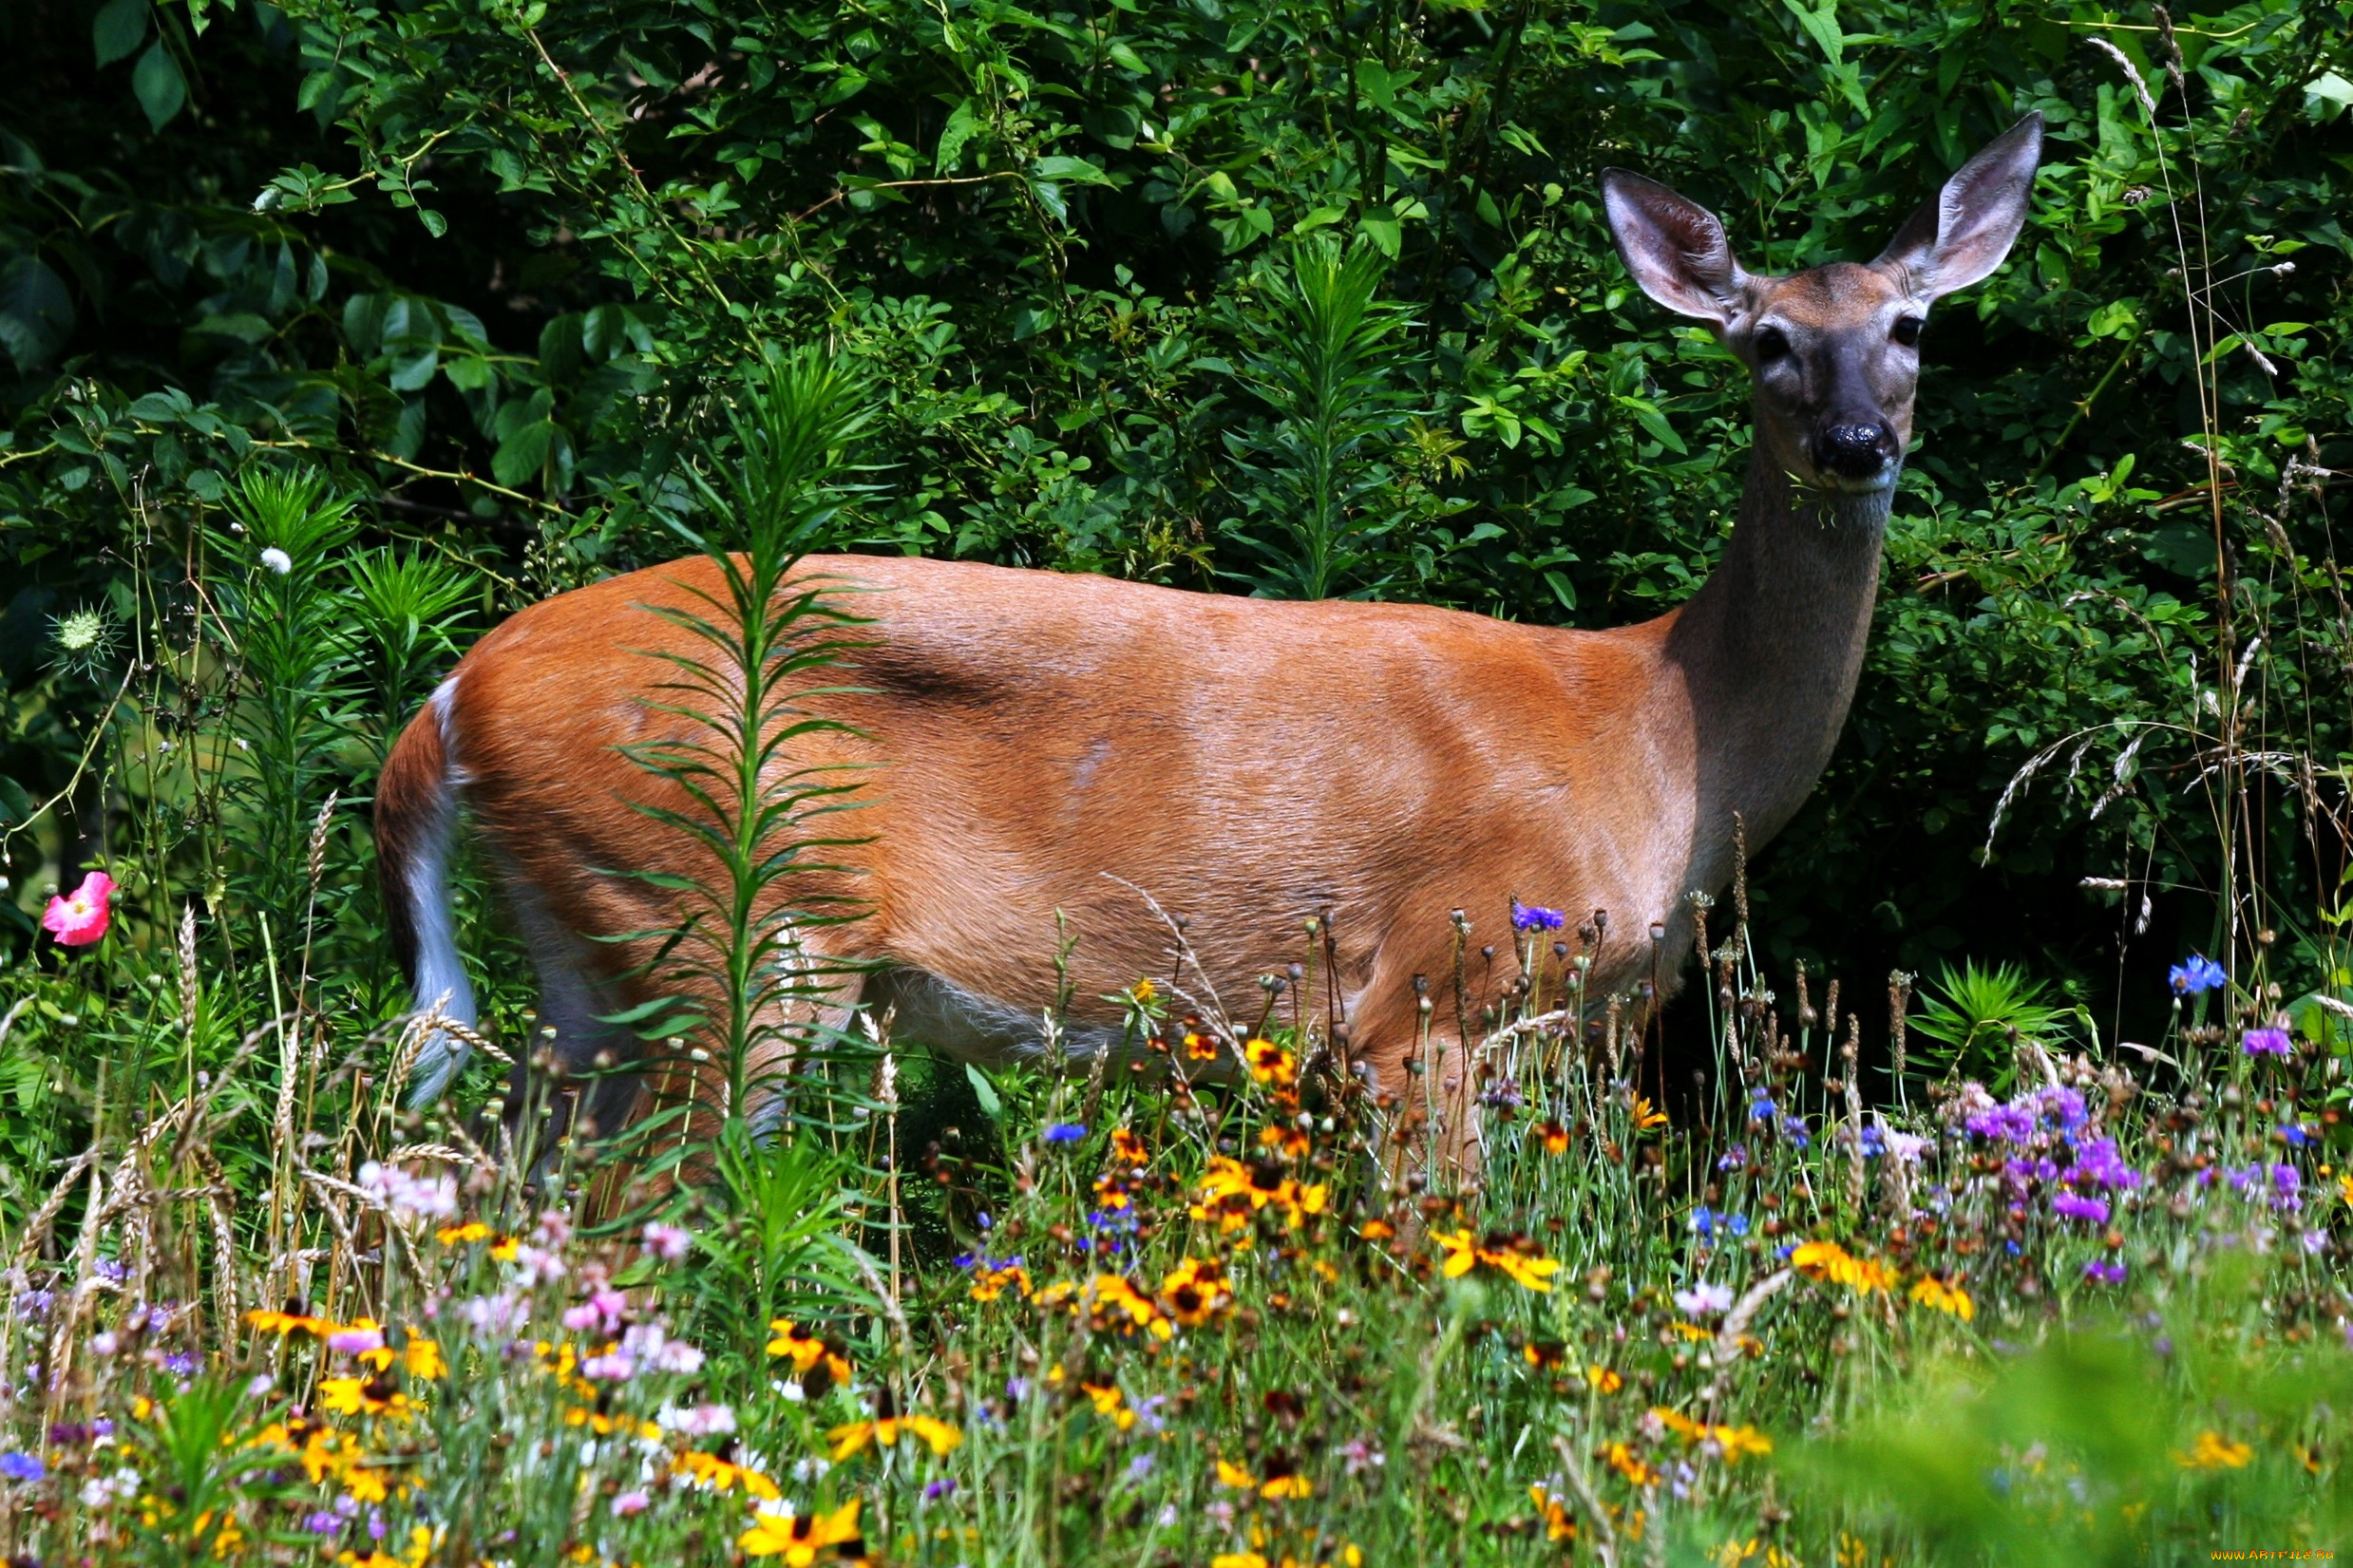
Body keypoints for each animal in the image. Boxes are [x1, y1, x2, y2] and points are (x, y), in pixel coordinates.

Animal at [371, 116, 2042, 1170]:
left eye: (1909, 326)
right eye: (1764, 338)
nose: (1853, 442)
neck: (1658, 734)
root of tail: (449, 697)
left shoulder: (1579, 1023)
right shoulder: (1422, 995)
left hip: (600, 958)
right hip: (722, 919)